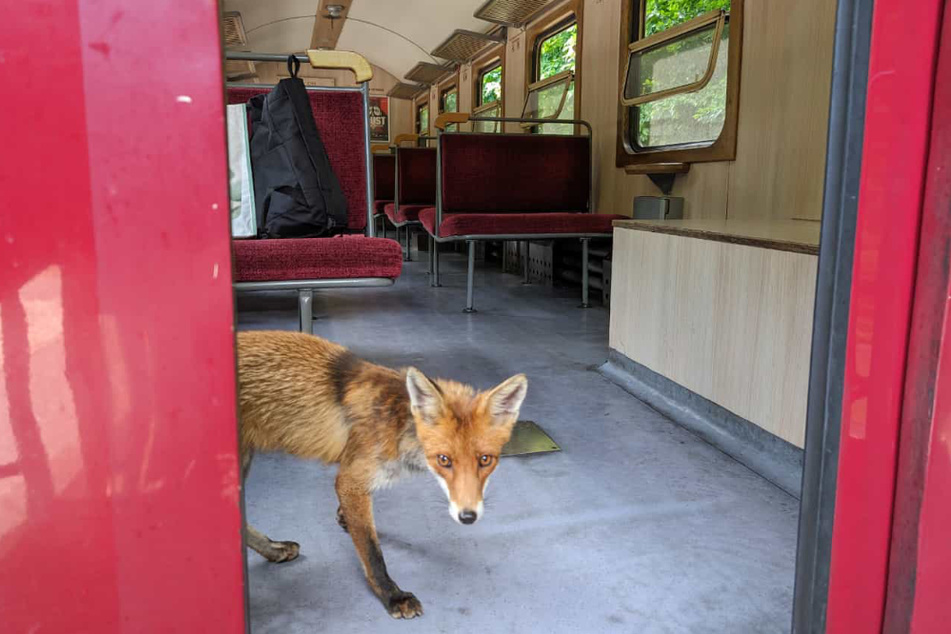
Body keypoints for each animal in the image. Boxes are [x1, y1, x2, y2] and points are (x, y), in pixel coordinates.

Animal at [232, 330, 528, 616]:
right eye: (444, 460)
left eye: (485, 460)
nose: (468, 517)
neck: (396, 424)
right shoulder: (350, 480)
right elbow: (372, 552)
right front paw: (392, 595)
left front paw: (343, 519)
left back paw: (273, 550)